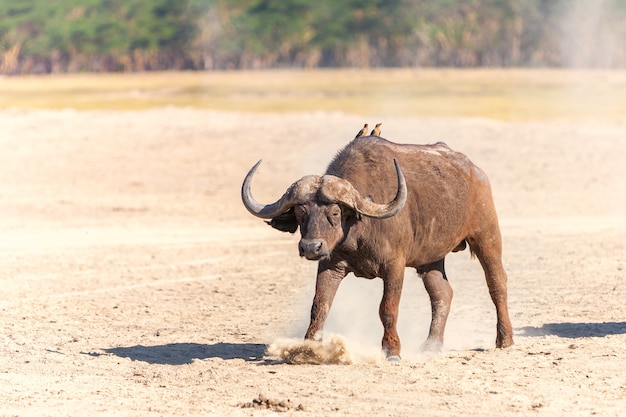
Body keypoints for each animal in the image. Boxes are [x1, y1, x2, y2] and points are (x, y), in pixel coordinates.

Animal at [240, 136, 512, 358]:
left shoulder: (394, 266)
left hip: (487, 236)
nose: (310, 247)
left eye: (335, 212)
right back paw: (431, 345)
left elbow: (387, 308)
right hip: (431, 260)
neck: (359, 229)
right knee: (442, 293)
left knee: (497, 283)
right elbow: (320, 305)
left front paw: (392, 350)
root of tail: (476, 172)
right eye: (299, 213)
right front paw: (308, 348)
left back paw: (504, 339)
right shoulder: (330, 265)